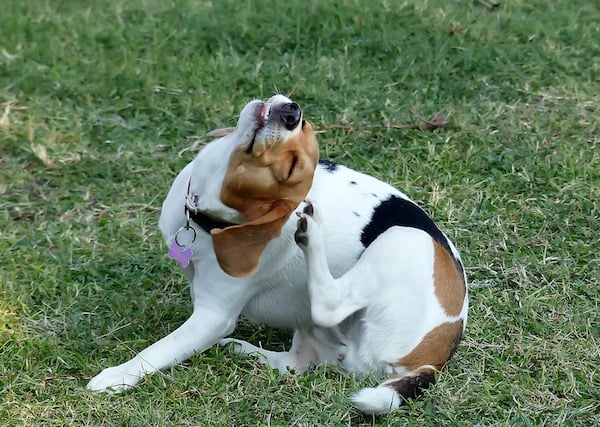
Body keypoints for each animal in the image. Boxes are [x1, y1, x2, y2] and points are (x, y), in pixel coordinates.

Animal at [85, 93, 468, 414]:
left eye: (289, 169)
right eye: (304, 124)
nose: (292, 112)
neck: (207, 218)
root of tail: (433, 359)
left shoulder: (212, 315)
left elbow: (159, 350)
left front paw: (118, 376)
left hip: (405, 239)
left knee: (329, 304)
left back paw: (311, 234)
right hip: (315, 334)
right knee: (294, 364)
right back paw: (238, 348)